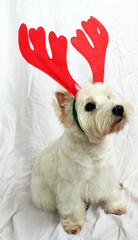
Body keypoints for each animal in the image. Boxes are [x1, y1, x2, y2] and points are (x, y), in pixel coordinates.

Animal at [30, 82, 132, 234]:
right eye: (89, 106)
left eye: (108, 97)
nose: (119, 108)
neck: (94, 148)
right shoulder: (70, 187)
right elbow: (72, 206)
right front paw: (73, 225)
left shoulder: (108, 174)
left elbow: (112, 192)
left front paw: (115, 207)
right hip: (42, 194)